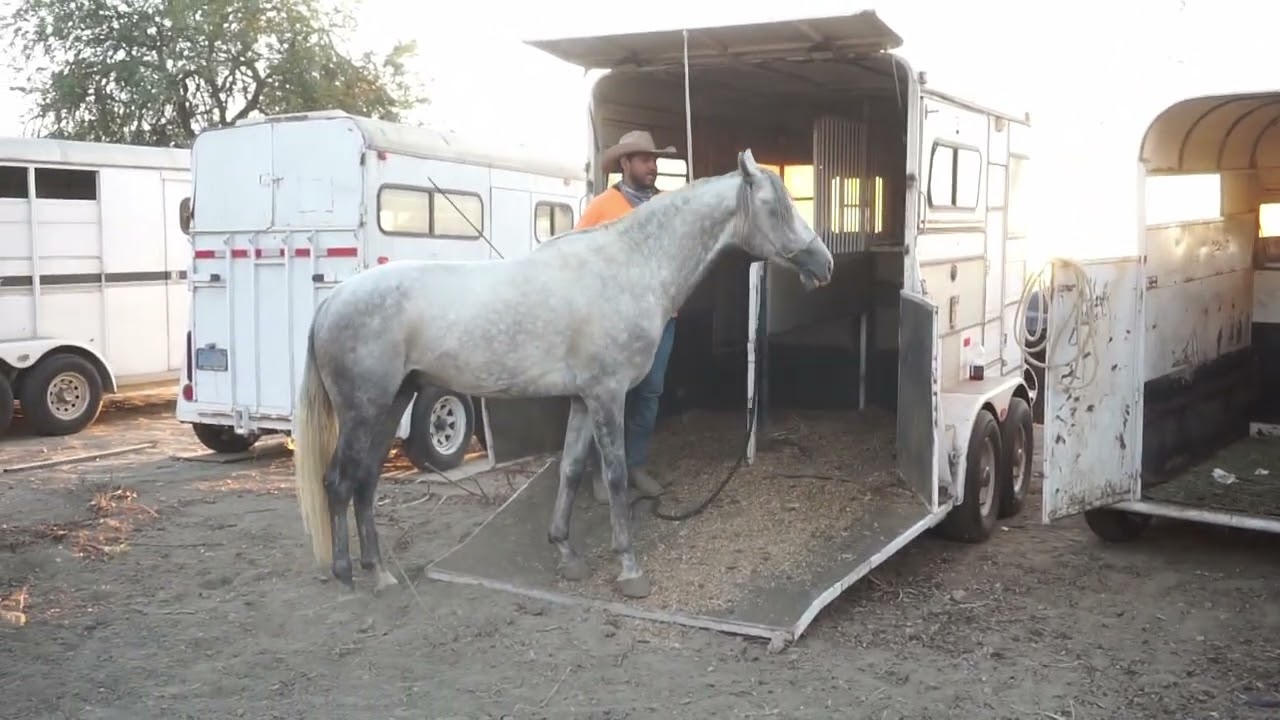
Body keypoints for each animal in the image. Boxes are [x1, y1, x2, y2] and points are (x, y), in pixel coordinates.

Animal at [292, 149, 835, 599]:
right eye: (776, 207)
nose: (824, 263)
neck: (630, 267)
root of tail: (332, 303)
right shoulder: (607, 396)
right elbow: (614, 476)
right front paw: (629, 569)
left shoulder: (581, 399)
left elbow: (571, 471)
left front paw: (567, 554)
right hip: (364, 408)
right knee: (339, 482)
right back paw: (347, 575)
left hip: (394, 402)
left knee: (365, 481)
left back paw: (380, 572)